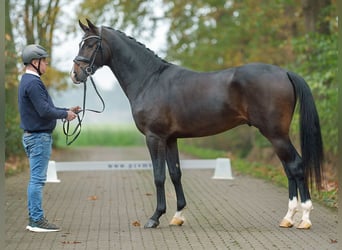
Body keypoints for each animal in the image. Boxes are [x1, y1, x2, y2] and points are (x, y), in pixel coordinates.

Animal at [70, 19, 324, 229]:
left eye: (90, 45)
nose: (75, 74)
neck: (150, 80)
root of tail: (285, 72)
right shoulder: (170, 139)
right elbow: (175, 173)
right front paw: (177, 215)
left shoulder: (154, 137)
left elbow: (159, 176)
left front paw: (155, 217)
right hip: (277, 135)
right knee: (289, 169)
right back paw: (288, 218)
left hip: (275, 134)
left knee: (295, 166)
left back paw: (304, 218)